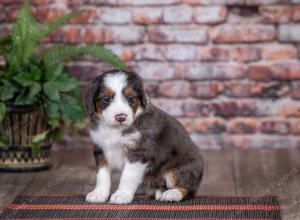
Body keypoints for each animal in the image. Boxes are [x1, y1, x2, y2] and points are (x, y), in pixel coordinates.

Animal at [84, 69, 204, 204]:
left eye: (131, 98)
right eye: (106, 99)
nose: (121, 117)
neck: (115, 129)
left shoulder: (139, 152)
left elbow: (127, 175)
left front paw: (122, 195)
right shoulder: (101, 149)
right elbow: (102, 175)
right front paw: (98, 193)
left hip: (178, 170)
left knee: (188, 190)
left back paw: (170, 194)